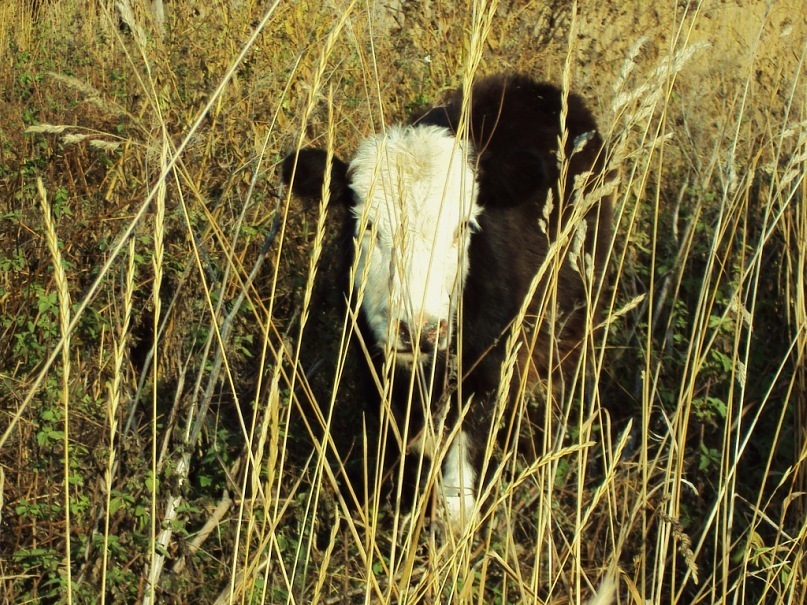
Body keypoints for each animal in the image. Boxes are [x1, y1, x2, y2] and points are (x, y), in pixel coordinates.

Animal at [282, 73, 612, 536]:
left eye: (464, 226)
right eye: (367, 225)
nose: (419, 330)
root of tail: (533, 86)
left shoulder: (486, 370)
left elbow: (462, 467)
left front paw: (455, 522)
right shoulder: (372, 367)